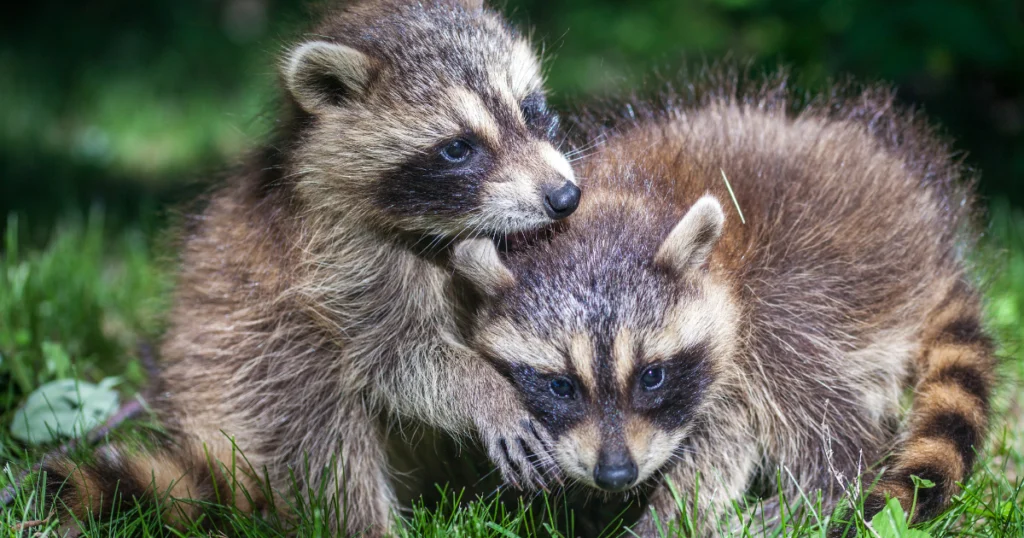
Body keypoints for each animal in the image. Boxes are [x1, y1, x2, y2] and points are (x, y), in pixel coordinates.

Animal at [37, 0, 577, 532]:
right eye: (458, 148)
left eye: (531, 110)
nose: (565, 197)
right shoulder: (337, 262)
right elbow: (395, 358)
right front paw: (486, 391)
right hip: (246, 372)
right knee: (319, 423)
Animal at [452, 77, 995, 532]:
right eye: (560, 386)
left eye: (652, 376)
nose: (616, 475)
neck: (619, 201)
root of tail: (936, 245)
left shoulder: (738, 319)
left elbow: (727, 439)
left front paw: (668, 518)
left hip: (830, 275)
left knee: (814, 397)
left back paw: (824, 489)